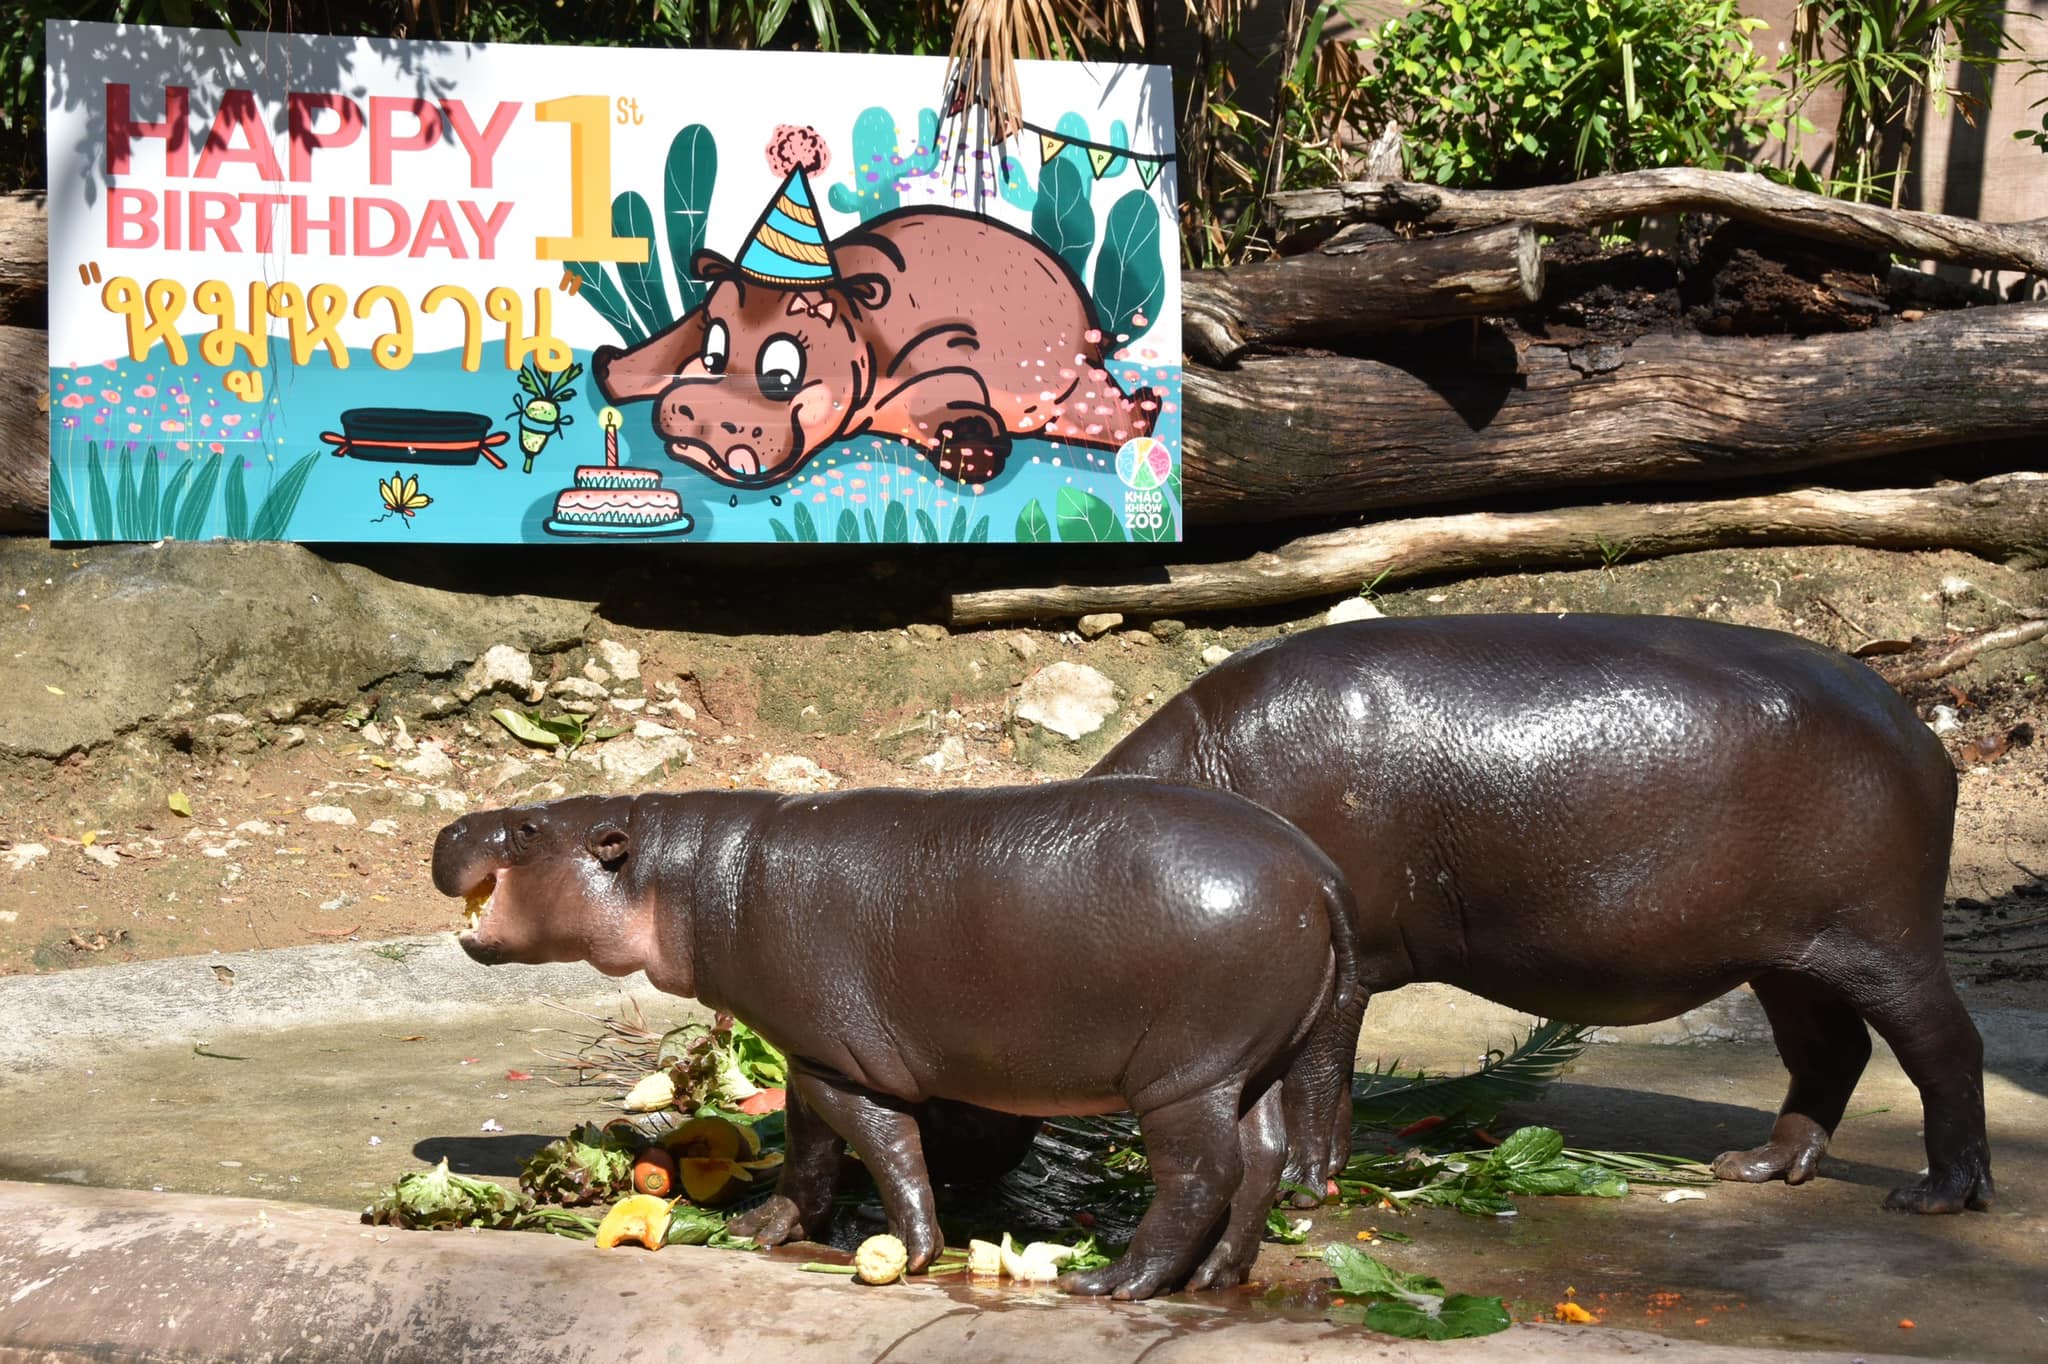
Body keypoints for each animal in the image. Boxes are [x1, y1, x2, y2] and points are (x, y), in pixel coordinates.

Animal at [432, 774, 1359, 1294]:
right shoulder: (807, 1054)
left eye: (529, 830)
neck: (685, 874)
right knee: (1263, 1157)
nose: (451, 828)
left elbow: (886, 1148)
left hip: (1181, 1075)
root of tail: (1317, 870)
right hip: (1251, 1061)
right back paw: (1218, 1275)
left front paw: (915, 1254)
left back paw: (1115, 1283)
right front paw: (761, 1231)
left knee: (1205, 1172)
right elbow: (807, 1152)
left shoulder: (845, 1064)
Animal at [1097, 610, 1990, 1204]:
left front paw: (1299, 1188)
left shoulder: (1341, 970)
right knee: (1829, 1052)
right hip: (1788, 956)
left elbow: (1313, 1078)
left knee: (1945, 1047)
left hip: (1884, 939)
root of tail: (1921, 731)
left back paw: (1938, 1196)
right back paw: (1757, 1169)